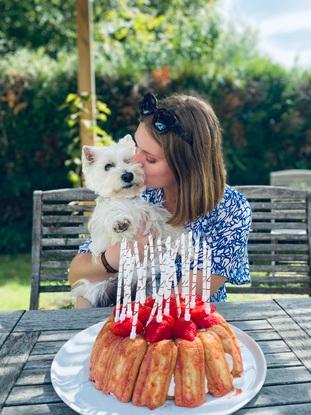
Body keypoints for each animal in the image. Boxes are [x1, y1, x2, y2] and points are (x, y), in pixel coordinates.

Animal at [72, 135, 182, 308]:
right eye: (108, 166)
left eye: (128, 160)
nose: (128, 175)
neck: (125, 199)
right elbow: (113, 215)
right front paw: (121, 222)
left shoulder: (151, 216)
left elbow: (168, 227)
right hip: (102, 286)